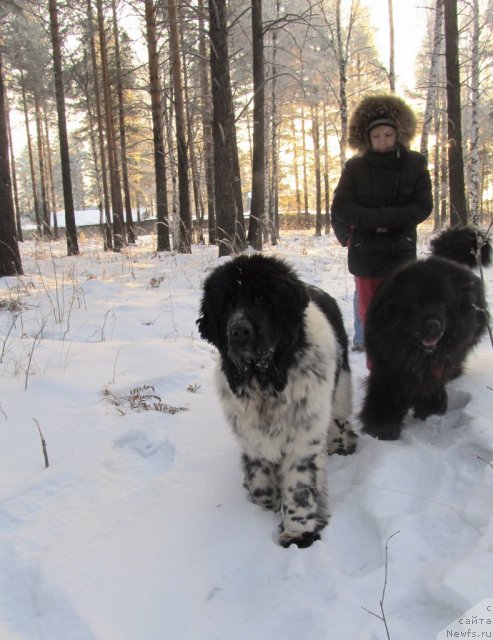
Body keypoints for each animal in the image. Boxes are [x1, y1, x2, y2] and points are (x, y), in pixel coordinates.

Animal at [196, 252, 354, 548]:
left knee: (339, 415)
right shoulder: (251, 436)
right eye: (227, 303)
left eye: (261, 299)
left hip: (341, 386)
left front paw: (298, 532)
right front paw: (268, 503)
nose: (239, 331)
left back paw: (342, 442)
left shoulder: (303, 438)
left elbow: (300, 487)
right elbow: (261, 482)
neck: (266, 381)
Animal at [360, 225, 490, 440]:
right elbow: (384, 393)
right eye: (416, 305)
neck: (417, 355)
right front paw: (382, 425)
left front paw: (429, 407)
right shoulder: (387, 363)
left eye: (443, 304)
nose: (433, 325)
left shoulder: (438, 363)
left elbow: (433, 383)